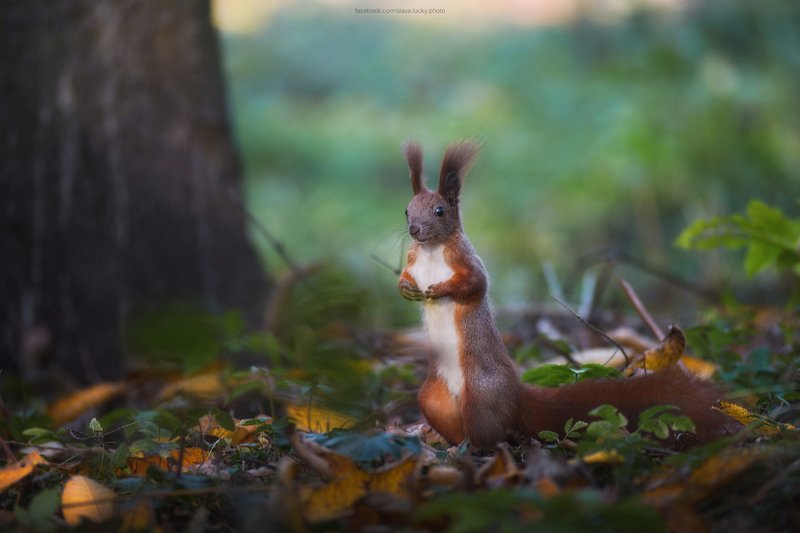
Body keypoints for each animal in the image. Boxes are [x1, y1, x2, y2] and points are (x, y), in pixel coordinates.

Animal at [398, 140, 738, 449]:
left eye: (440, 211)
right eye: (406, 211)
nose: (414, 230)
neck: (432, 250)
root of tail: (515, 395)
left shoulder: (467, 262)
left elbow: (476, 285)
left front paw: (439, 289)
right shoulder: (413, 260)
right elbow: (406, 276)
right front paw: (406, 288)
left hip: (480, 398)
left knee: (489, 436)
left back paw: (469, 450)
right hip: (433, 398)